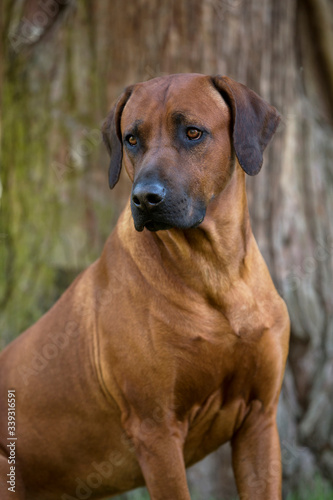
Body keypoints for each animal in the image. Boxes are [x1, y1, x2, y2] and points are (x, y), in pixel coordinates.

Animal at [0, 74, 288, 500]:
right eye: (132, 138)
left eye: (193, 132)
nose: (145, 198)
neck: (215, 270)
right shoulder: (156, 430)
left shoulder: (260, 418)